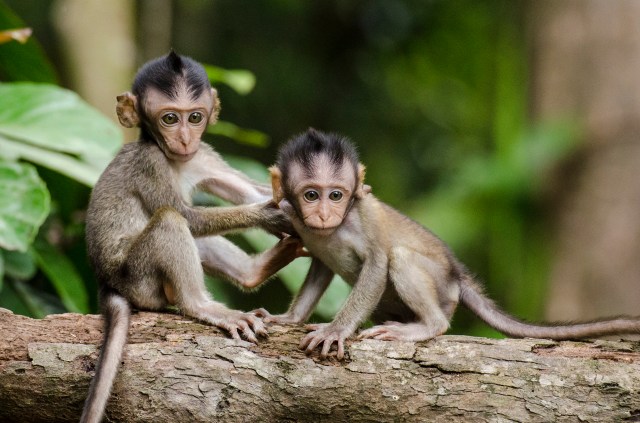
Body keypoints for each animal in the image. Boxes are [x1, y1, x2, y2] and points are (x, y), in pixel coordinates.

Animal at [81, 52, 302, 423]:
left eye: (194, 117)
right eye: (169, 118)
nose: (184, 139)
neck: (174, 159)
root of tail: (107, 282)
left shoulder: (203, 155)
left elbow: (248, 191)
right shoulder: (150, 162)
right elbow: (186, 216)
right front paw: (270, 214)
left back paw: (254, 271)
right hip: (139, 279)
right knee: (171, 221)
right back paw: (201, 305)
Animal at [255, 128, 640, 360]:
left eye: (336, 195)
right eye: (311, 195)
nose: (323, 214)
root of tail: (457, 276)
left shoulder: (362, 214)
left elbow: (378, 262)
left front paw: (336, 329)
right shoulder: (295, 219)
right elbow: (320, 266)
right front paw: (289, 318)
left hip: (442, 289)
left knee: (401, 258)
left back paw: (428, 326)